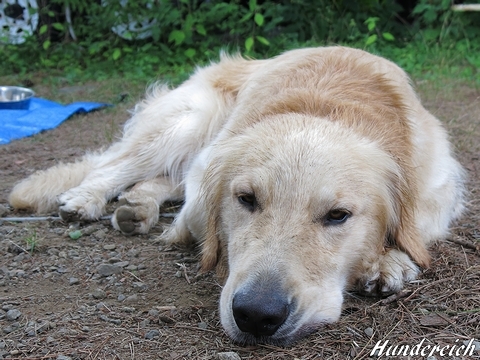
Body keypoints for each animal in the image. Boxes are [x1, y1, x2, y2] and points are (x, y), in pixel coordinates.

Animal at [8, 46, 464, 344]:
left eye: (337, 215)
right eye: (246, 199)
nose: (257, 315)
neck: (324, 108)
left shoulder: (438, 188)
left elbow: (417, 231)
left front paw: (388, 261)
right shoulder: (204, 185)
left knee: (162, 179)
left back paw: (136, 207)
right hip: (191, 121)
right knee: (113, 167)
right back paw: (84, 200)